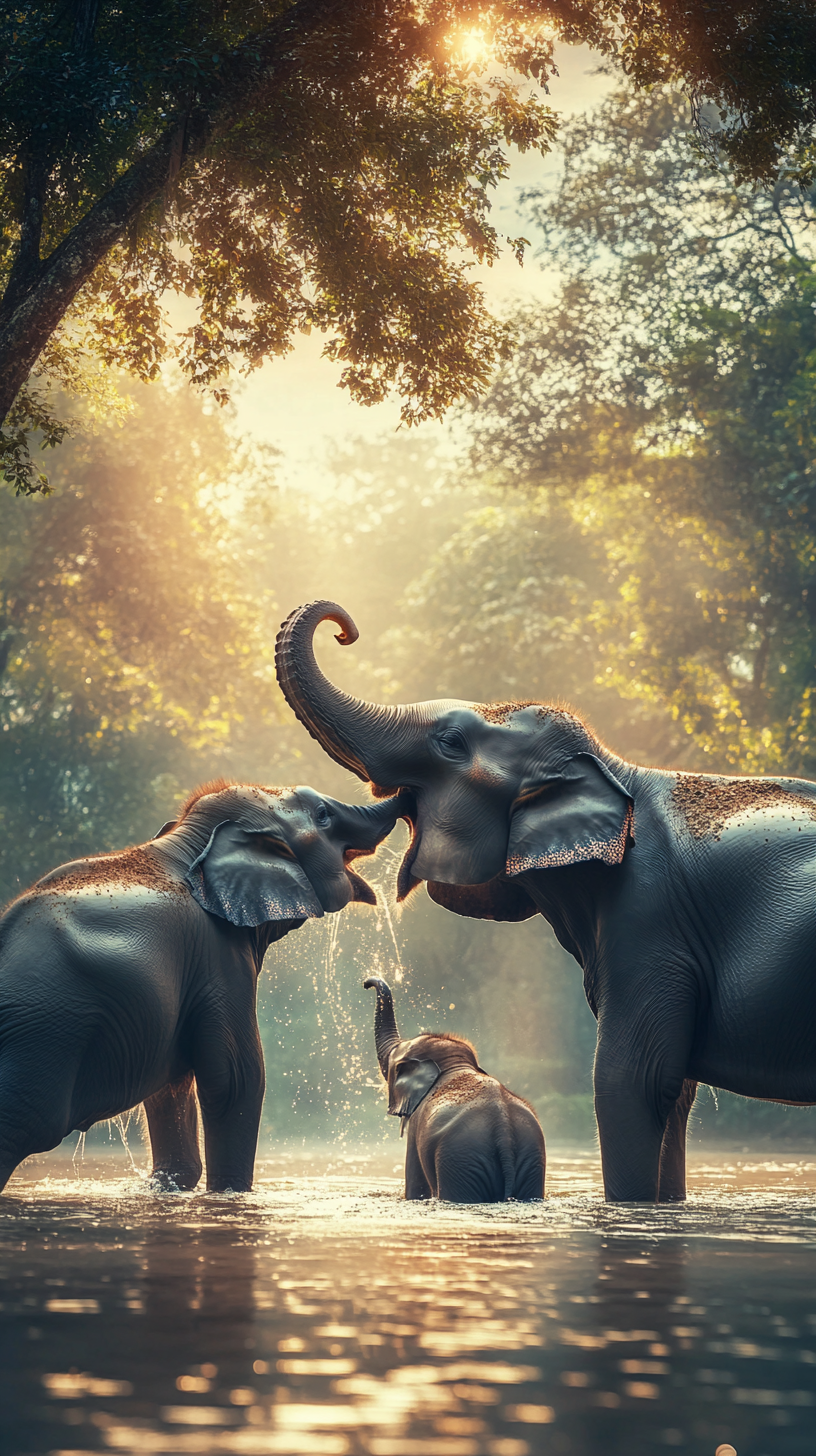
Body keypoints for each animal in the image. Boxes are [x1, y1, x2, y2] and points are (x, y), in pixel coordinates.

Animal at [364, 972, 544, 1199]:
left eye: (393, 1067)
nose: (365, 984)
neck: (453, 1064)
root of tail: (504, 1133)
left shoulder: (416, 1131)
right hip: (530, 1159)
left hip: (460, 1159)